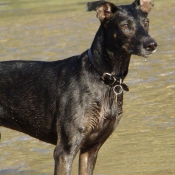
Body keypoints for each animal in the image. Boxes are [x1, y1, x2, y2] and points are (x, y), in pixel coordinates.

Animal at [0, 0, 157, 175]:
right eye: (125, 25)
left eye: (146, 22)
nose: (152, 44)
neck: (104, 77)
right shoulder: (65, 150)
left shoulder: (91, 148)